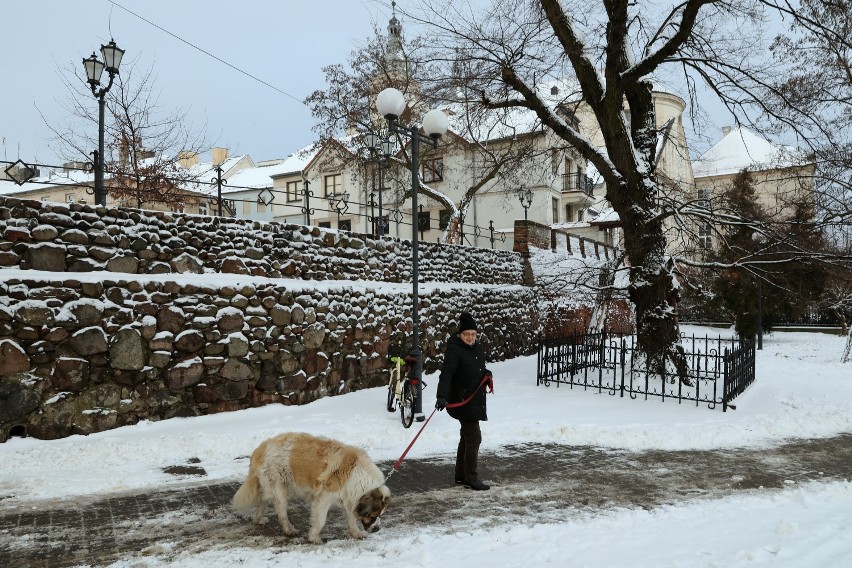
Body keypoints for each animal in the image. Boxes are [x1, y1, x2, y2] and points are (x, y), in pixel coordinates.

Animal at [233, 432, 392, 544]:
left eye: (380, 514)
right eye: (372, 515)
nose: (377, 529)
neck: (358, 476)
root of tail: (262, 448)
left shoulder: (349, 498)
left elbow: (351, 518)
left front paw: (356, 533)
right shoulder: (323, 498)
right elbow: (321, 521)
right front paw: (314, 538)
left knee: (263, 501)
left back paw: (259, 519)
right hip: (279, 488)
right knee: (281, 512)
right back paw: (289, 530)